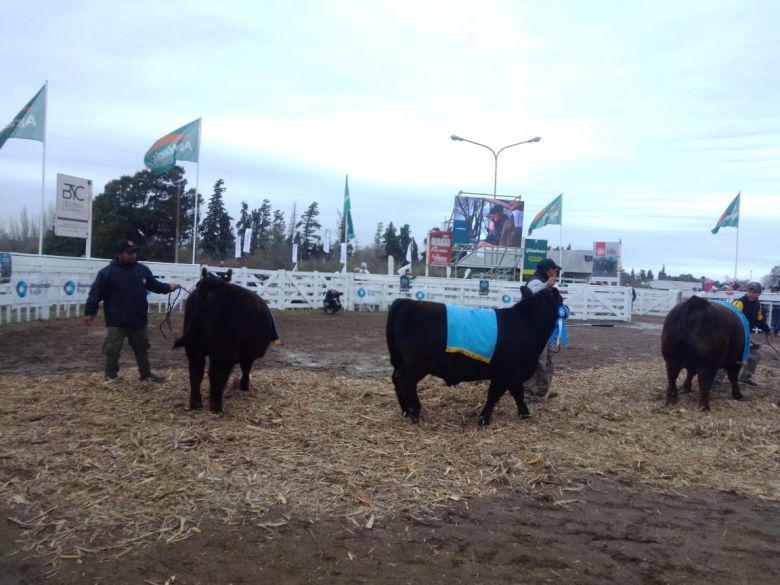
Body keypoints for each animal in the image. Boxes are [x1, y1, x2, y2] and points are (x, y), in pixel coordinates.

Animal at [175, 268, 278, 410]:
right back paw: (216, 407)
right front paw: (244, 386)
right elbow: (246, 368)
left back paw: (196, 404)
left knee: (196, 372)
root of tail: (210, 286)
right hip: (224, 351)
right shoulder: (248, 353)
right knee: (217, 373)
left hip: (194, 347)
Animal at [386, 286, 564, 424]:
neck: (526, 323)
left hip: (402, 361)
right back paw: (414, 412)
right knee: (404, 380)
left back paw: (405, 410)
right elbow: (494, 395)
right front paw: (484, 419)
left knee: (396, 378)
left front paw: (525, 414)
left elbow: (518, 394)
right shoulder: (504, 374)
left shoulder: (515, 374)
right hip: (416, 364)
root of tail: (405, 302)